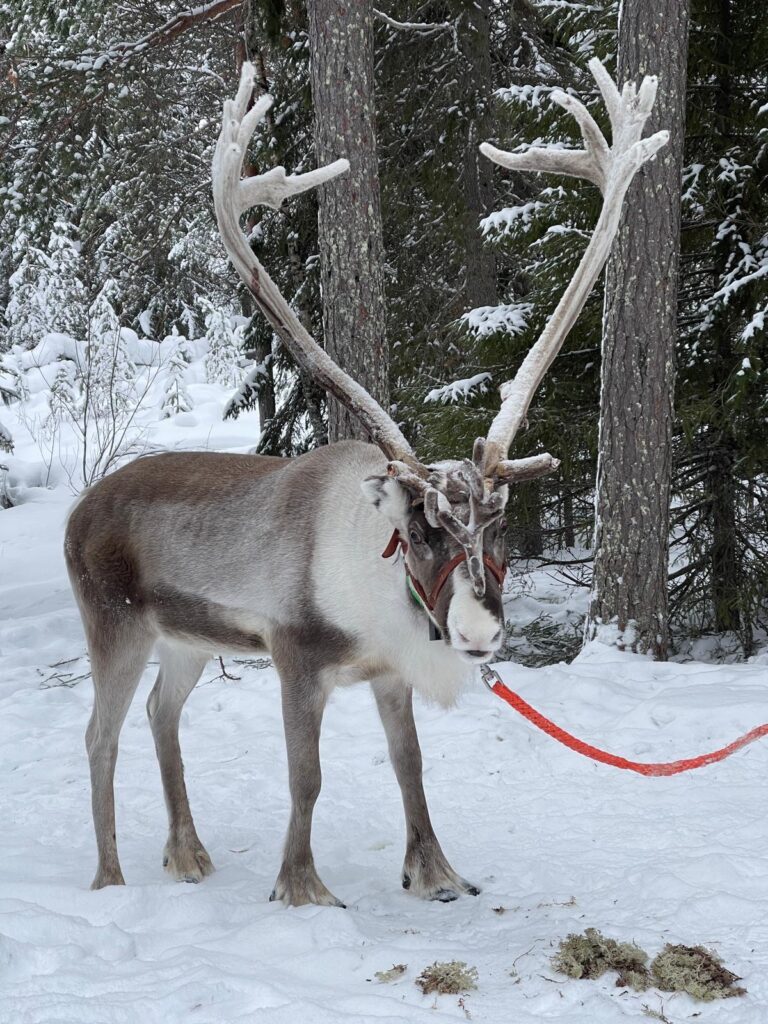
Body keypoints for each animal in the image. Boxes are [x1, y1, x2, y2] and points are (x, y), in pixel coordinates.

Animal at [64, 58, 667, 905]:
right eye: (418, 527)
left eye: (497, 522)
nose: (478, 635)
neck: (380, 602)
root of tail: (77, 511)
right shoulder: (294, 655)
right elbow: (307, 778)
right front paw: (300, 887)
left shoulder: (388, 671)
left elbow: (410, 766)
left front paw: (434, 871)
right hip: (114, 622)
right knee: (99, 733)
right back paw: (110, 877)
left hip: (184, 637)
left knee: (159, 711)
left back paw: (186, 853)